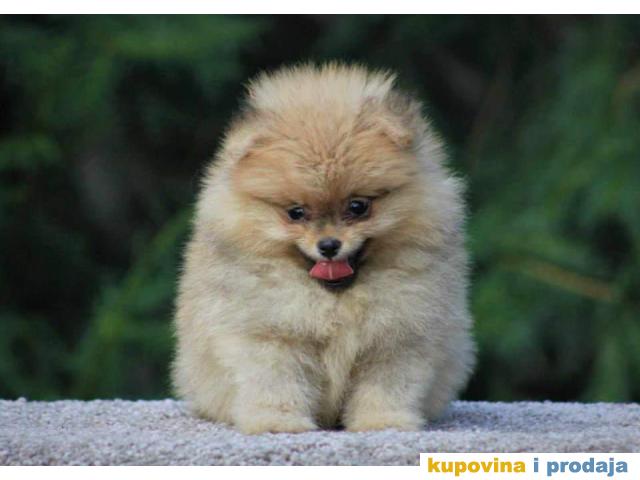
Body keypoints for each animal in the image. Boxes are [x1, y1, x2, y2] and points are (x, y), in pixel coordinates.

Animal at [172, 64, 475, 434]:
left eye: (358, 207)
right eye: (296, 212)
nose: (329, 245)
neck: (335, 300)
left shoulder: (398, 339)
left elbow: (386, 387)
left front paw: (383, 421)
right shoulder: (270, 337)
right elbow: (277, 383)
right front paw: (278, 422)